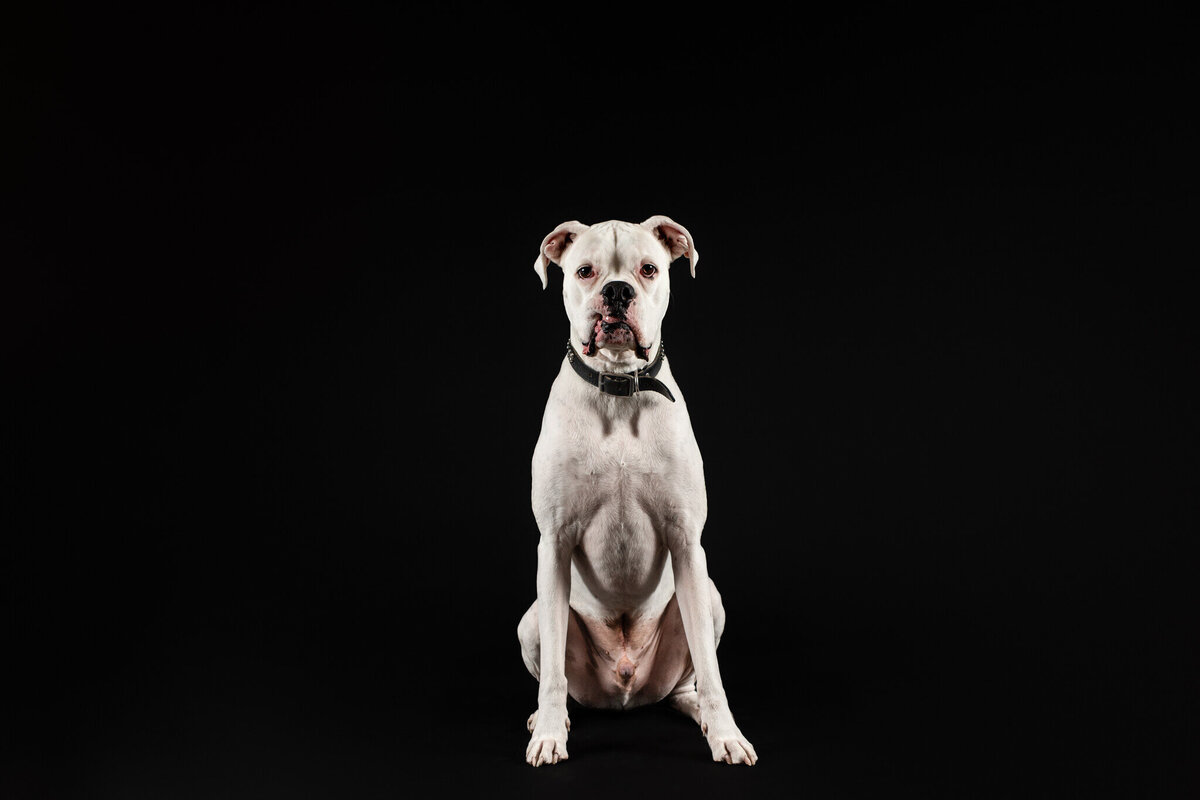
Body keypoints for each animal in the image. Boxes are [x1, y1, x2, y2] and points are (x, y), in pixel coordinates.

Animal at [518, 215, 758, 767]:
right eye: (584, 271)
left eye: (648, 269)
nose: (617, 290)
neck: (620, 387)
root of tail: (625, 689)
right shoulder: (554, 545)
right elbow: (554, 677)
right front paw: (549, 734)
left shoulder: (687, 543)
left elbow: (712, 670)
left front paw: (726, 733)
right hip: (532, 620)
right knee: (562, 680)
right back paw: (547, 718)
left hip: (709, 600)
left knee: (686, 683)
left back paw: (698, 712)